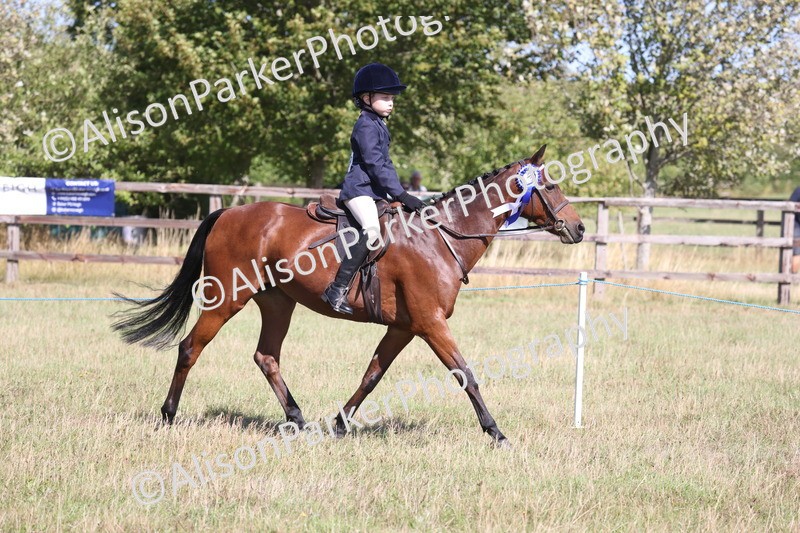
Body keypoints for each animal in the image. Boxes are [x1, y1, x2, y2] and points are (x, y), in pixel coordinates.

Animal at [112, 145, 585, 446]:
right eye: (552, 186)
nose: (579, 229)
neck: (440, 237)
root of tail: (229, 211)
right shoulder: (431, 323)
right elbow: (465, 373)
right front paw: (496, 432)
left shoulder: (404, 327)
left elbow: (372, 375)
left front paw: (340, 425)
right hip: (228, 297)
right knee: (191, 347)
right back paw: (168, 416)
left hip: (278, 302)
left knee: (266, 357)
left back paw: (299, 421)